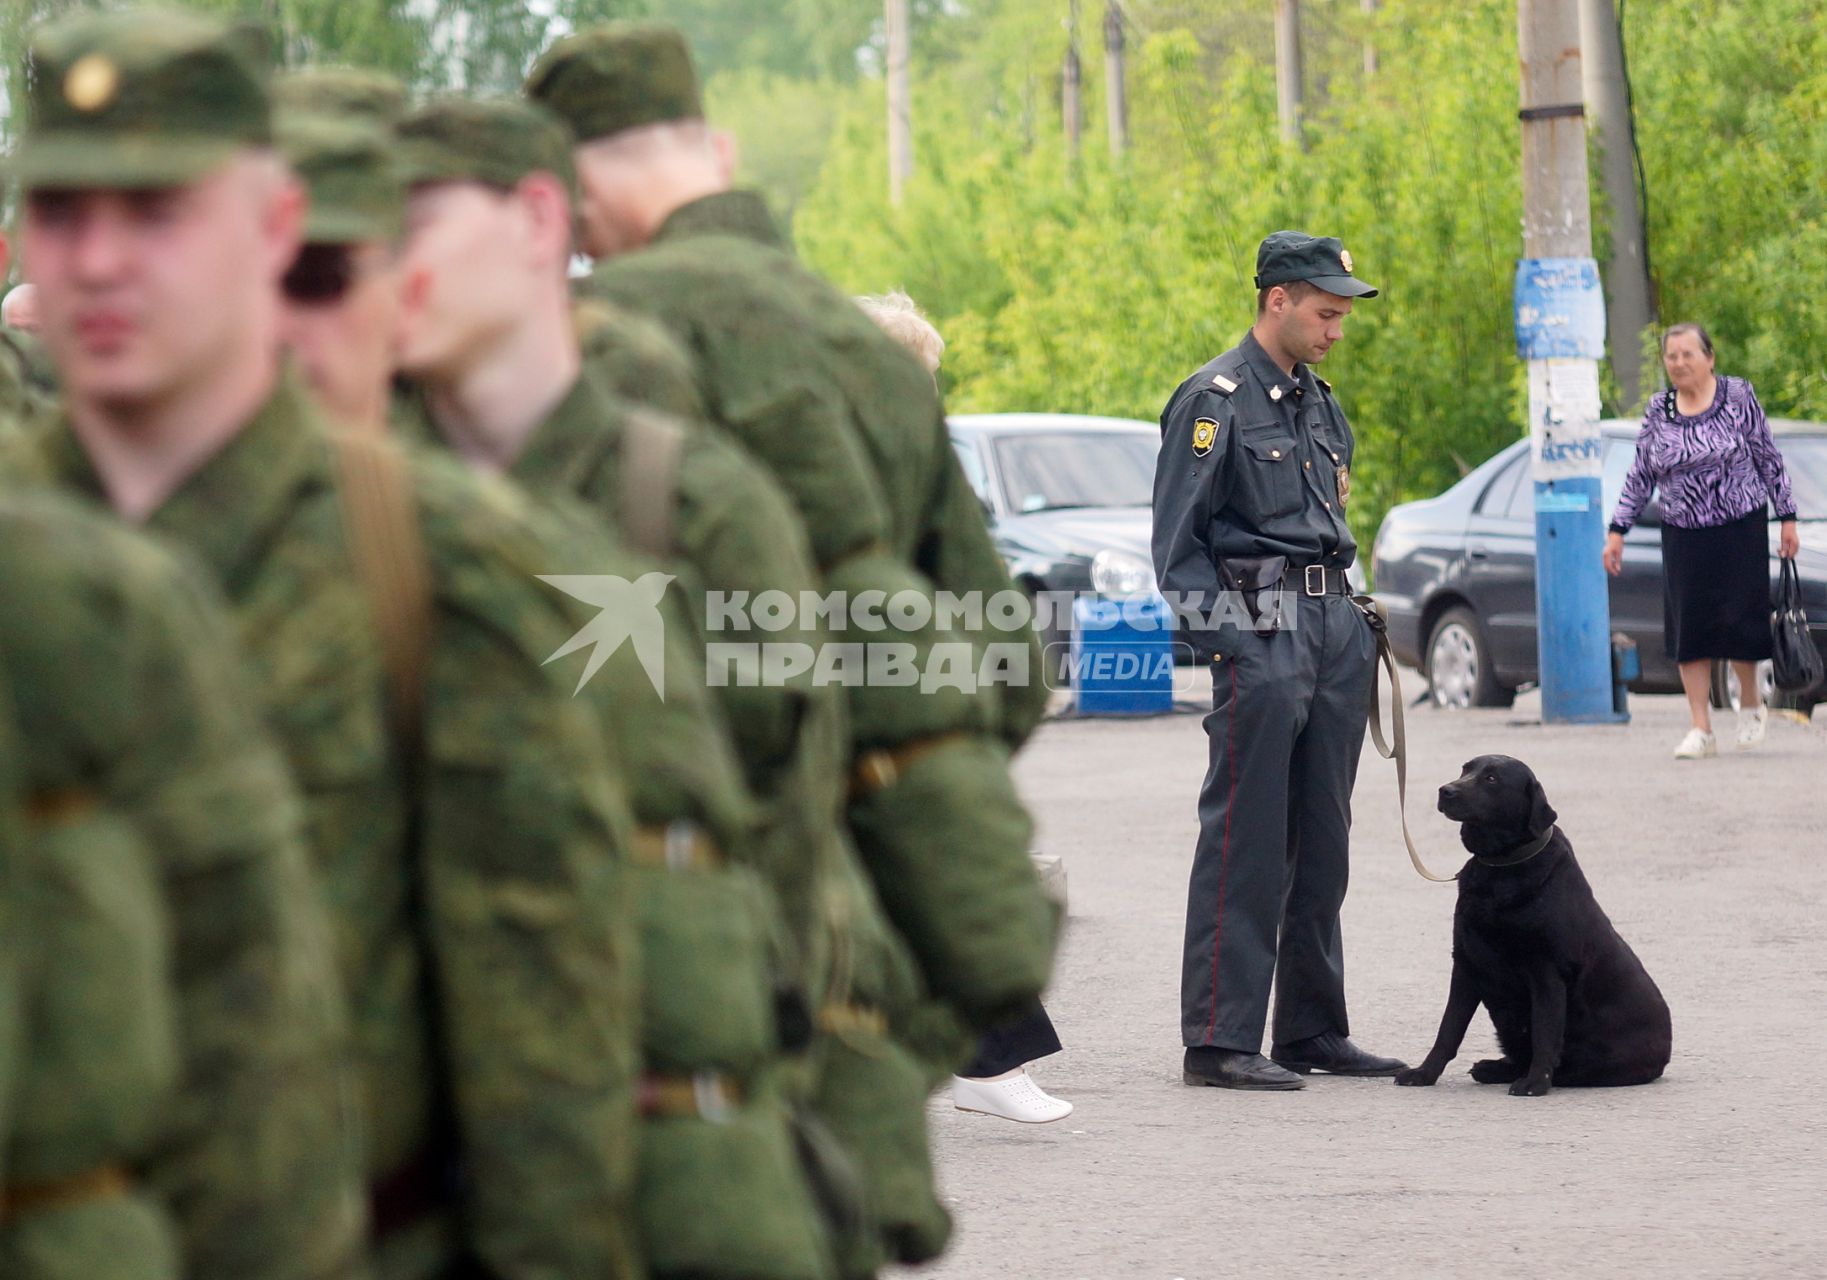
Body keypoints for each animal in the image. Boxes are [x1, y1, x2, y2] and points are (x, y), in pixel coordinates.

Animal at [1395, 752, 1673, 1095]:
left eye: (1491, 778)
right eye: (1465, 769)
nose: (1446, 790)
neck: (1501, 866)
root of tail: (1665, 1054)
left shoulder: (1546, 972)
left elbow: (1545, 1032)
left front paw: (1535, 1082)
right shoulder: (1465, 963)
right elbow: (1448, 1030)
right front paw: (1423, 1073)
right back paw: (1492, 1067)